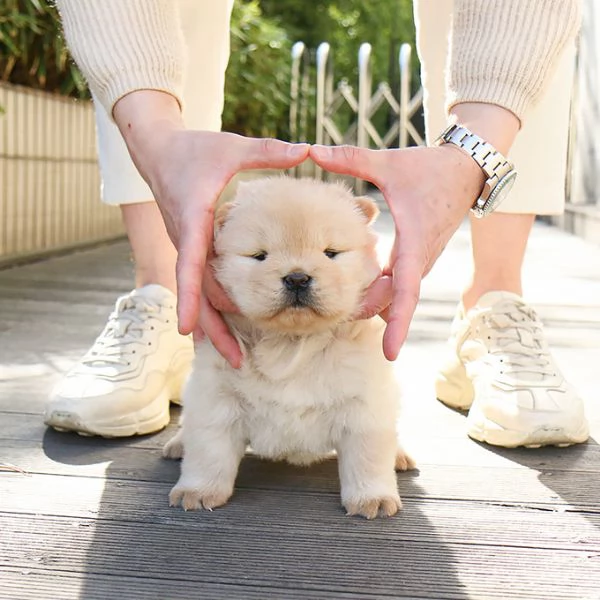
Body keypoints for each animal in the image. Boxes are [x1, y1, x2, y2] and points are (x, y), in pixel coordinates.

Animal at [164, 176, 412, 516]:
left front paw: (371, 499)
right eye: (260, 255)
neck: (290, 342)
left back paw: (400, 455)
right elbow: (208, 452)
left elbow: (368, 457)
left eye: (330, 253)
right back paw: (178, 444)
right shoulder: (216, 397)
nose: (297, 278)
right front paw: (198, 492)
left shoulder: (365, 403)